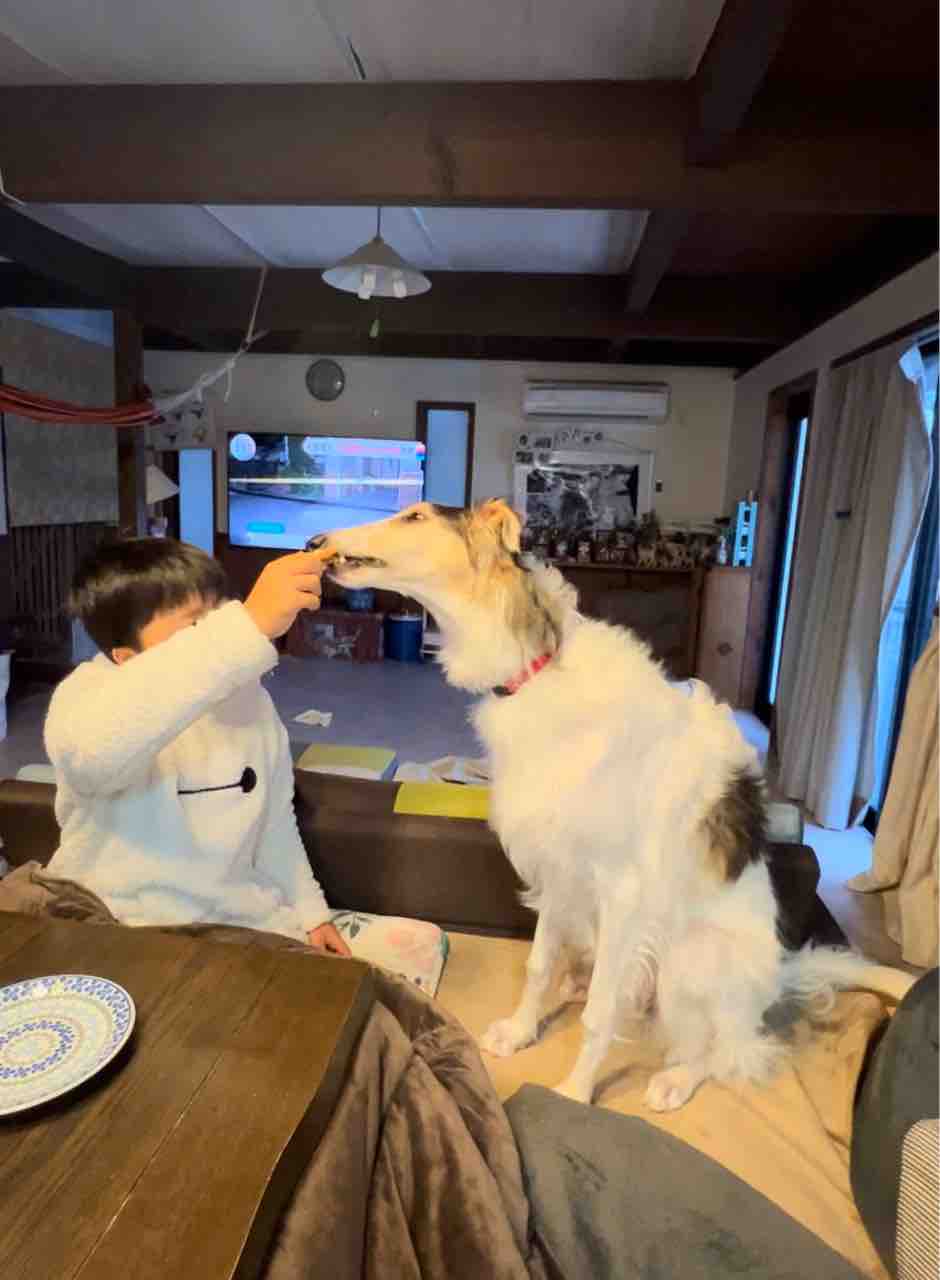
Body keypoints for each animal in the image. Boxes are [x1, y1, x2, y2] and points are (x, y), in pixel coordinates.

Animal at [312, 499, 914, 1110]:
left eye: (414, 516)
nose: (315, 540)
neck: (540, 667)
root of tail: (776, 979)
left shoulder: (622, 891)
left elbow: (601, 1019)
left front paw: (576, 1090)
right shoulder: (557, 868)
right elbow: (537, 965)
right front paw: (520, 1032)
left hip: (687, 965)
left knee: (726, 1050)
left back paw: (675, 1078)